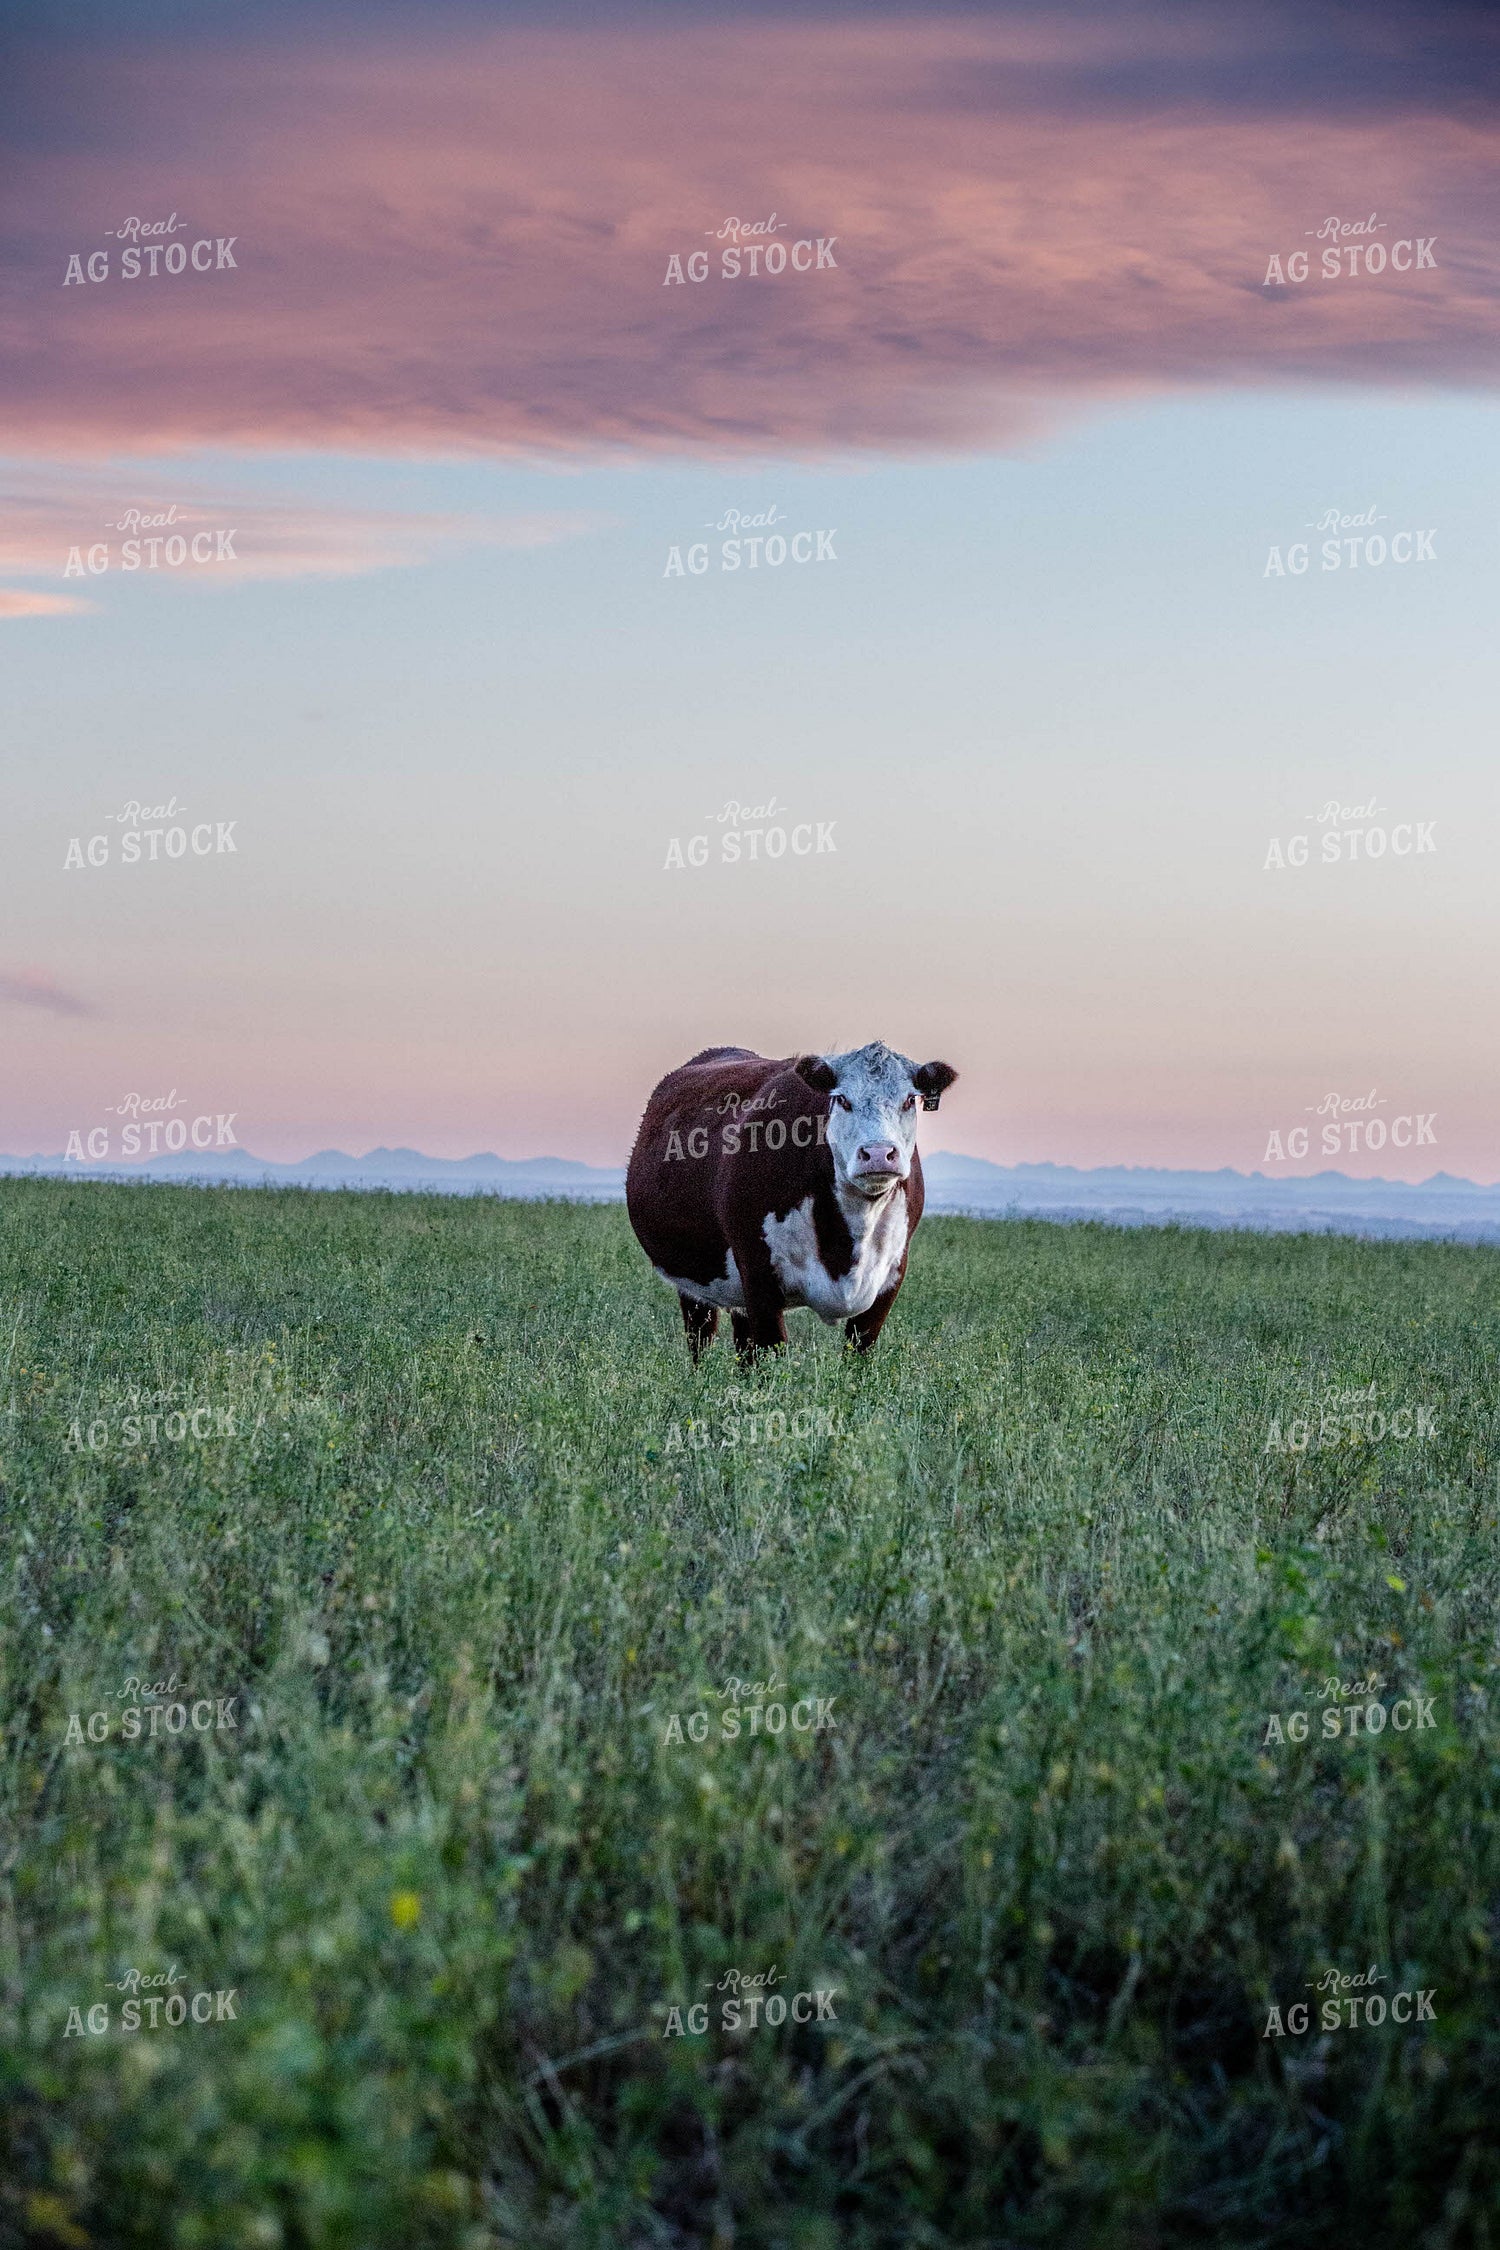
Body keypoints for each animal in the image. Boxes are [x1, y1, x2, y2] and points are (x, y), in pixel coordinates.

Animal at [626, 1041, 958, 1363]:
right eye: (843, 1100)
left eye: (909, 1100)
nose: (878, 1153)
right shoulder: (758, 1273)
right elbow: (770, 1357)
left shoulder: (889, 1280)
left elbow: (858, 1357)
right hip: (696, 1280)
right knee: (701, 1341)